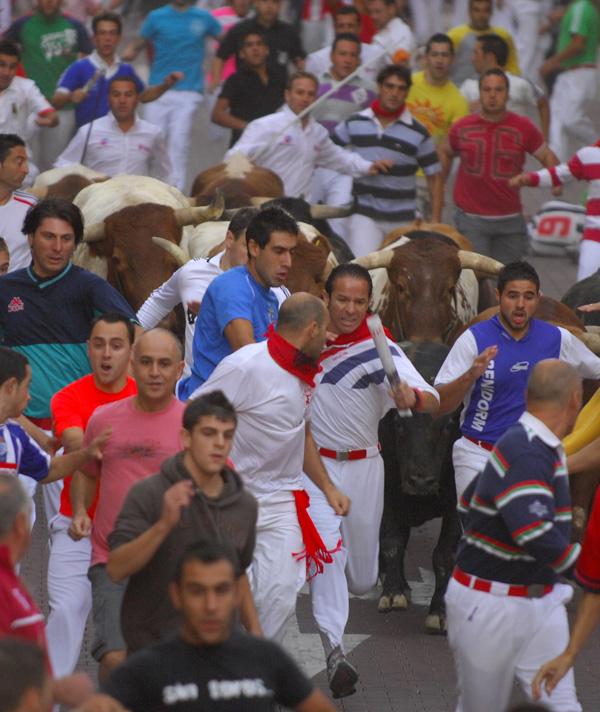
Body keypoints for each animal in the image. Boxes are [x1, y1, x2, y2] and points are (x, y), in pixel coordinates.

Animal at [380, 342, 460, 632]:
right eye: (399, 424)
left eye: (447, 426)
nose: (420, 481)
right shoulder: (389, 489)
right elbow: (391, 541)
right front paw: (393, 593)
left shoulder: (455, 503)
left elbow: (444, 555)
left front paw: (440, 612)